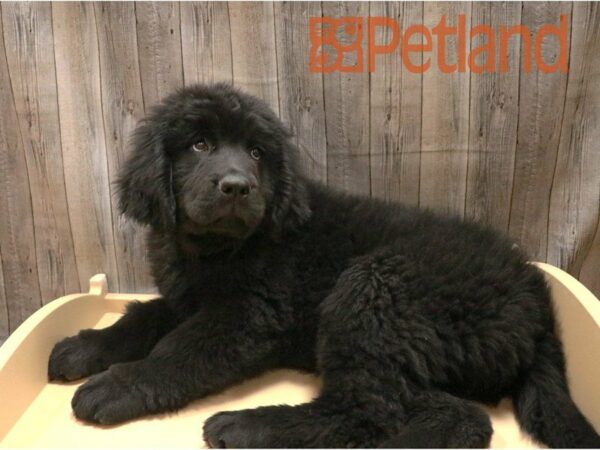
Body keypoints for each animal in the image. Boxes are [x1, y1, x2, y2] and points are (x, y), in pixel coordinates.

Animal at [48, 82, 600, 448]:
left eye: (257, 152)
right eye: (199, 144)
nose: (236, 186)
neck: (215, 249)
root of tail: (533, 293)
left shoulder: (245, 317)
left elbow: (178, 351)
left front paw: (117, 385)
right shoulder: (187, 298)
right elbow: (141, 316)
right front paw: (84, 347)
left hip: (374, 291)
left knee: (366, 410)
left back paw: (249, 426)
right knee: (458, 418)